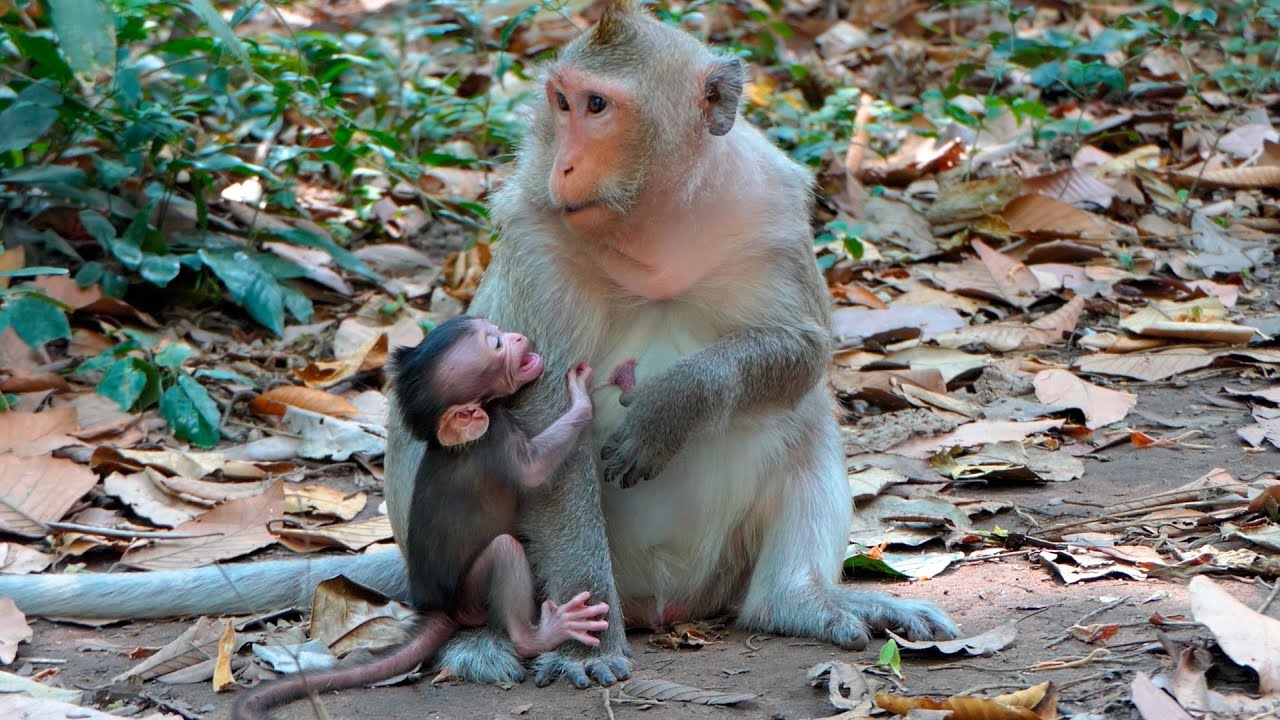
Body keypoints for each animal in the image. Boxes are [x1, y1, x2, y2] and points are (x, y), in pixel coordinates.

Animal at [231, 316, 608, 720]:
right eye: (495, 344)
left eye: (495, 330)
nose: (517, 337)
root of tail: (441, 608)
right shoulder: (496, 436)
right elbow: (533, 471)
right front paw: (581, 399)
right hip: (469, 597)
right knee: (505, 552)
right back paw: (540, 634)